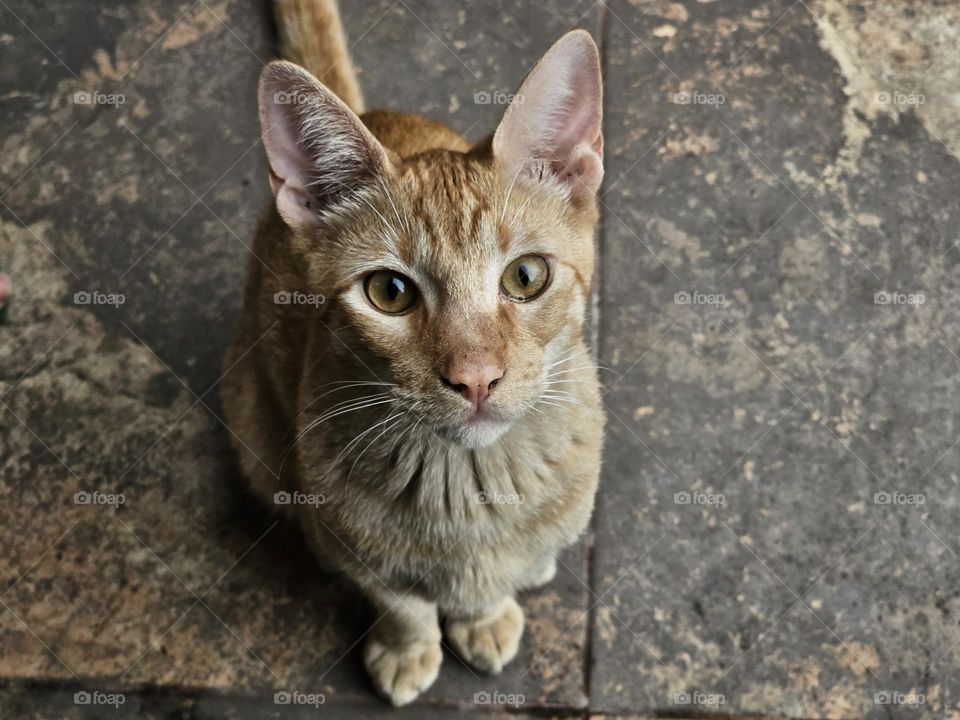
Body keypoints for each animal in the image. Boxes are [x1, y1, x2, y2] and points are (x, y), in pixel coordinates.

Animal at [221, 0, 604, 708]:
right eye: (390, 292)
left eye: (527, 277)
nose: (476, 378)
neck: (470, 486)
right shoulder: (356, 548)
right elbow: (399, 602)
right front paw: (409, 647)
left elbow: (489, 586)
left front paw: (485, 615)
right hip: (254, 429)